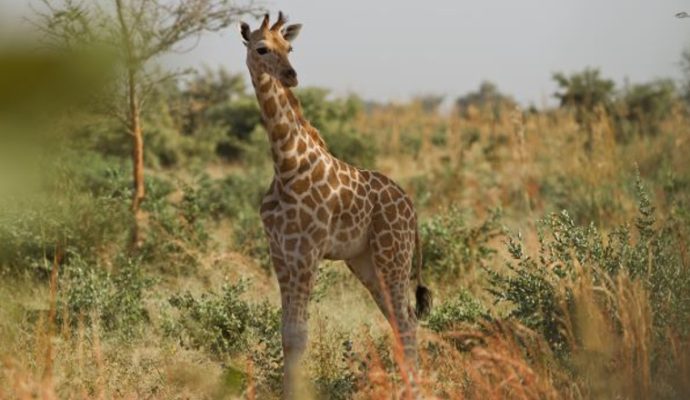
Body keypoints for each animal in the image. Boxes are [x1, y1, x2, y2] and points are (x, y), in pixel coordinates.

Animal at [238, 12, 430, 396]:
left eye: (290, 47)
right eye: (261, 48)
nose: (291, 76)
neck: (285, 165)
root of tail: (412, 209)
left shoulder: (307, 251)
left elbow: (298, 334)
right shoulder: (279, 252)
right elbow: (287, 333)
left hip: (393, 255)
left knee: (406, 321)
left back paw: (412, 391)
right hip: (365, 262)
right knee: (399, 319)